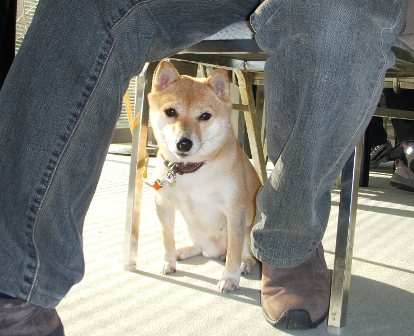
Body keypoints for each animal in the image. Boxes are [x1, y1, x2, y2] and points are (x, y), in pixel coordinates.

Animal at [147, 60, 260, 292]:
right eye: (171, 111)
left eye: (205, 116)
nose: (184, 143)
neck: (192, 171)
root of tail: (216, 251)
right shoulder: (164, 204)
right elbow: (166, 237)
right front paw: (168, 260)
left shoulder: (235, 210)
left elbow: (235, 250)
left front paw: (230, 277)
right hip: (189, 226)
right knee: (199, 247)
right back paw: (183, 251)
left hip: (250, 225)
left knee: (243, 252)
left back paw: (244, 263)